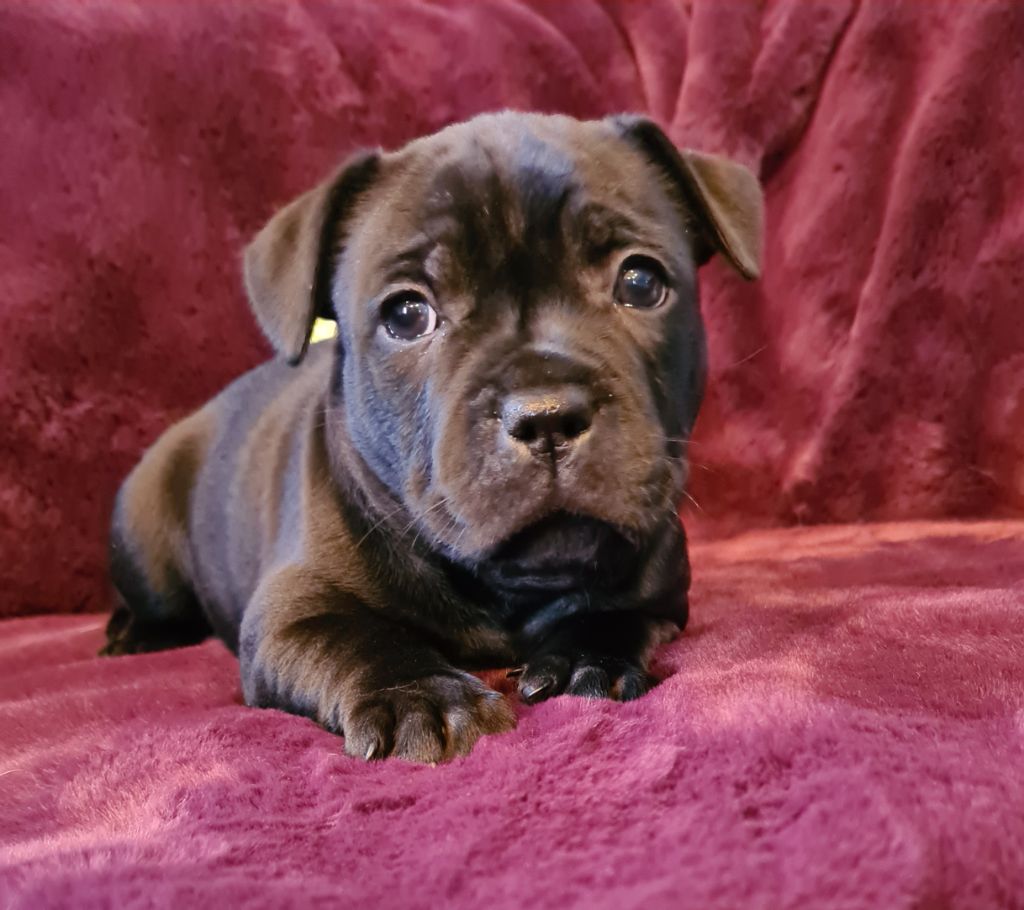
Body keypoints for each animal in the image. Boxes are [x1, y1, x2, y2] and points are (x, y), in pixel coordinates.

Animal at [102, 112, 763, 763]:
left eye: (641, 283)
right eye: (406, 315)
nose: (546, 413)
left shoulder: (658, 583)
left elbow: (618, 608)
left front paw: (585, 654)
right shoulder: (290, 613)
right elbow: (353, 638)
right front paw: (421, 695)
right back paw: (129, 634)